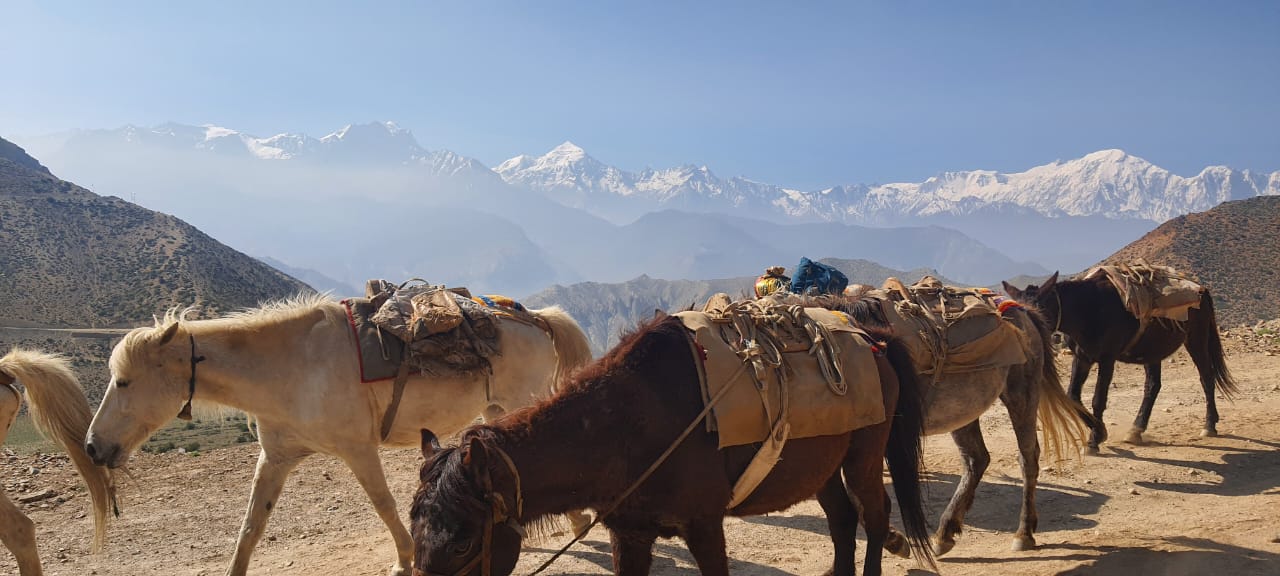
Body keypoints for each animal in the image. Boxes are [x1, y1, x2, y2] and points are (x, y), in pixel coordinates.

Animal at [83, 293, 594, 576]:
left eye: (123, 382)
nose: (92, 447)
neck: (291, 366)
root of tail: (536, 319)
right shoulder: (275, 459)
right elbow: (250, 528)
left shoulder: (357, 450)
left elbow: (384, 505)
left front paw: (404, 559)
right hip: (497, 410)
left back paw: (579, 520)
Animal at [410, 311, 937, 576]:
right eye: (416, 536)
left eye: (463, 544)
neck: (626, 426)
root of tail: (873, 336)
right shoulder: (630, 533)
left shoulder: (704, 527)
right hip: (821, 467)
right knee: (843, 519)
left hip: (864, 456)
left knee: (874, 514)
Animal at [795, 292, 1091, 556]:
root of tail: (1021, 310)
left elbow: (860, 496)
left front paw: (895, 540)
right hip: (963, 409)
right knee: (976, 459)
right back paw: (946, 532)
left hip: (1021, 394)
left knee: (1027, 457)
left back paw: (1024, 533)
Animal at [1004, 272, 1237, 453]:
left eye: (1039, 311)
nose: (1027, 344)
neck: (1087, 309)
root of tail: (1201, 290)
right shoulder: (1082, 358)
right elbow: (1073, 396)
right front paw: (1099, 432)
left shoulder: (1107, 359)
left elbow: (1098, 399)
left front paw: (1095, 439)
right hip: (1153, 350)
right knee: (1153, 386)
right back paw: (1136, 429)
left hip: (1196, 339)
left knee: (1206, 377)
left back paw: (1209, 425)